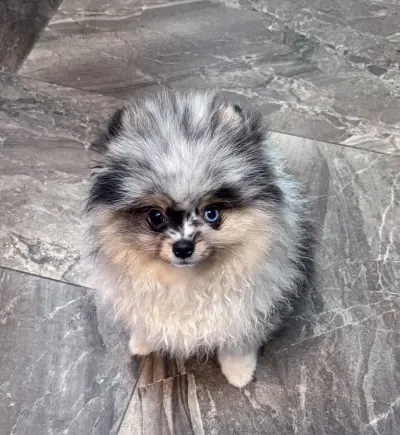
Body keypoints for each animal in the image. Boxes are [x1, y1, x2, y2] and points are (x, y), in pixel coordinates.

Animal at [85, 90, 314, 388]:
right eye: (155, 216)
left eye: (212, 213)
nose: (183, 247)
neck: (187, 282)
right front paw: (143, 341)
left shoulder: (246, 309)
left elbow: (237, 343)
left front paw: (239, 371)